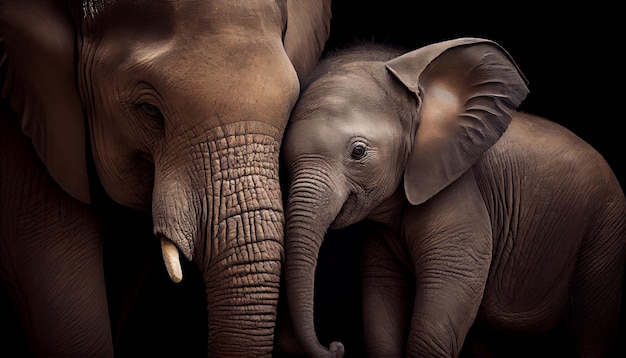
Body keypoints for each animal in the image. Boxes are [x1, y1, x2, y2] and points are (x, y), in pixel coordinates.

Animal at [282, 37, 624, 356]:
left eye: (357, 152)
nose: (336, 346)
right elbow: (382, 289)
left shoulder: (460, 193)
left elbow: (449, 289)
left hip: (605, 231)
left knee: (591, 329)